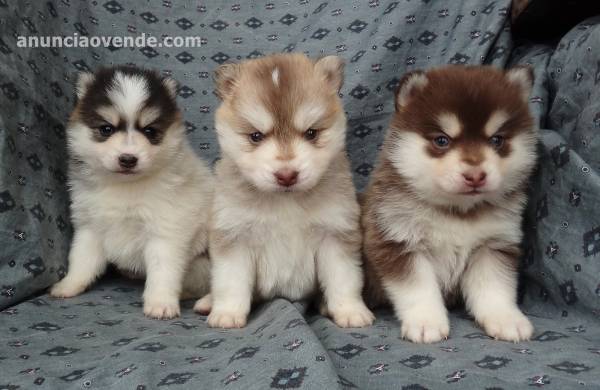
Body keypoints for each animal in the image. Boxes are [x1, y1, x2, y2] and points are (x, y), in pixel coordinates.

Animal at [50, 65, 213, 318]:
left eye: (150, 131)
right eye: (106, 129)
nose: (128, 159)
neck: (125, 186)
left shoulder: (165, 232)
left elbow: (163, 271)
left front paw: (161, 303)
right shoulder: (90, 227)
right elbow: (81, 260)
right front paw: (69, 285)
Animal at [196, 54, 376, 330]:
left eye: (311, 133)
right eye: (255, 136)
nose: (287, 175)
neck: (285, 201)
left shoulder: (335, 236)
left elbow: (344, 279)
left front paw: (350, 310)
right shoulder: (235, 237)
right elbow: (230, 282)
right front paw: (227, 312)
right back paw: (209, 301)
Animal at [360, 64, 540, 342]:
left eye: (497, 140)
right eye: (441, 140)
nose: (475, 175)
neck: (456, 212)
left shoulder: (492, 246)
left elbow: (495, 288)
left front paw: (506, 318)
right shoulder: (399, 242)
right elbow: (419, 289)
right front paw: (426, 321)